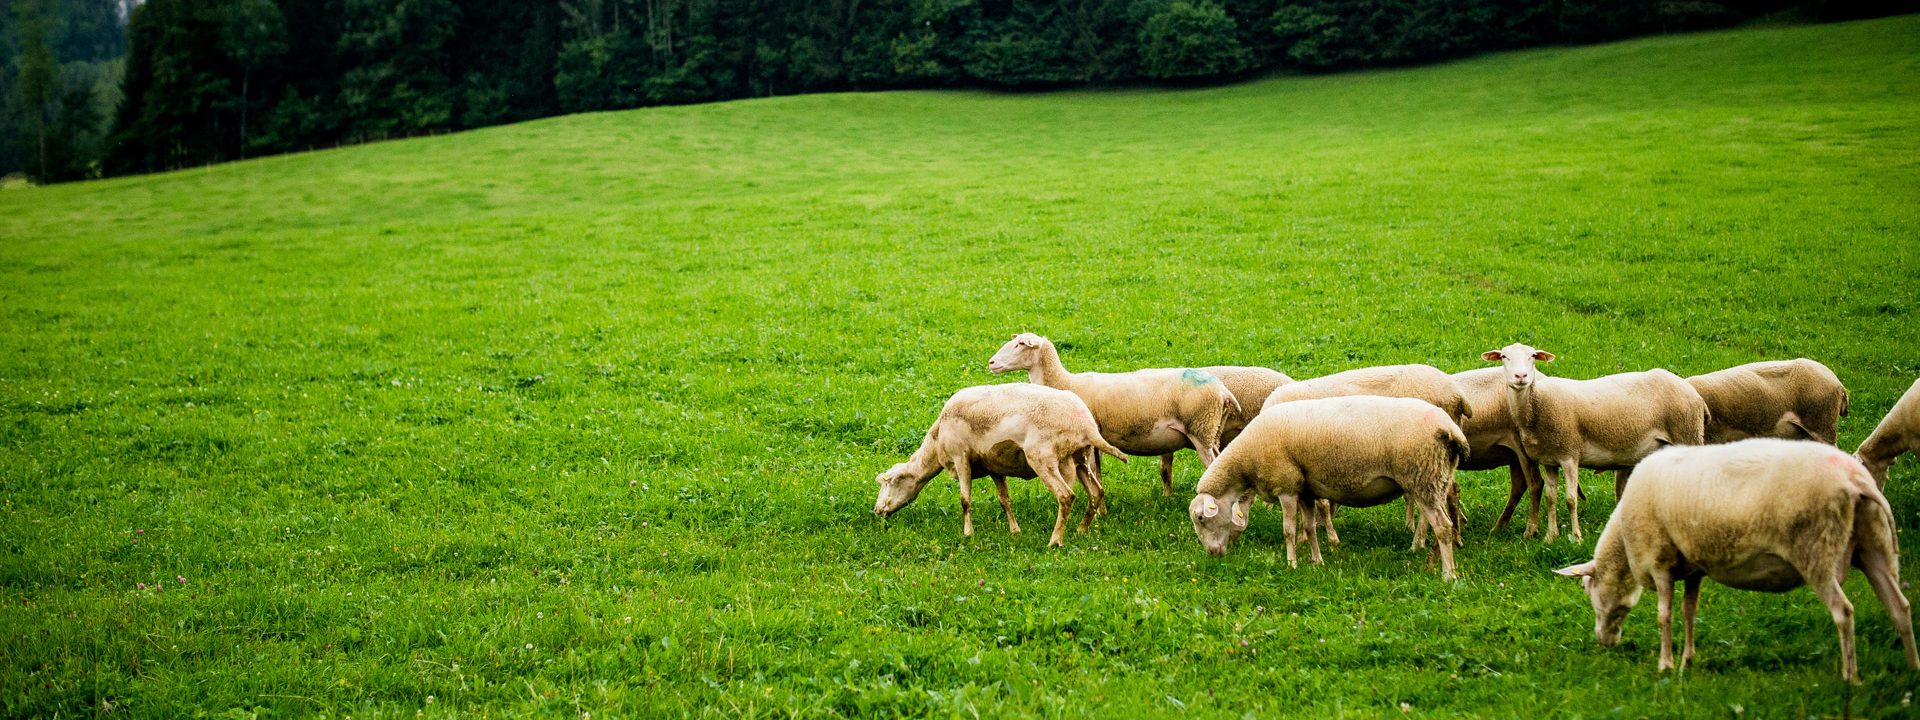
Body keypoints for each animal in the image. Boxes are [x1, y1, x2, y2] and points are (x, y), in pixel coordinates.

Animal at [872, 383, 1129, 547]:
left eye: (889, 483)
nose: (876, 511)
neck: (936, 444)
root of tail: (1087, 426)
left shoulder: (961, 458)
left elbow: (965, 500)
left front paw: (968, 534)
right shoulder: (994, 466)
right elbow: (1004, 500)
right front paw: (1015, 531)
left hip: (1044, 458)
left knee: (1066, 497)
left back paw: (1055, 541)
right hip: (1079, 458)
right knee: (1096, 492)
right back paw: (1081, 530)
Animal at [988, 333, 1240, 496]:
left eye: (1021, 344)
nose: (991, 362)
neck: (1065, 382)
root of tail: (1222, 390)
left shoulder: (1090, 439)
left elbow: (1094, 475)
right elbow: (1097, 474)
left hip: (1200, 429)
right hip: (1211, 431)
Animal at [1187, 395, 1469, 582]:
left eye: (1201, 518)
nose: (1212, 553)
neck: (1247, 459)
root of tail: (1451, 429)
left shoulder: (1287, 487)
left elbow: (1289, 531)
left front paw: (1291, 564)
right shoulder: (1305, 490)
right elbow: (1310, 528)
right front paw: (1317, 562)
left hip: (1422, 478)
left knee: (1442, 527)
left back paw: (1448, 575)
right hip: (1436, 479)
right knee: (1444, 522)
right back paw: (1431, 565)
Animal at [1482, 343, 1708, 543]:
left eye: (1533, 356)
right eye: (1504, 357)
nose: (1521, 377)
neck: (1537, 403)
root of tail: (1692, 391)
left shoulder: (1569, 454)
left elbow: (1571, 499)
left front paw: (1576, 538)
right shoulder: (1549, 460)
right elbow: (1550, 498)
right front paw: (1550, 537)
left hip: (1687, 434)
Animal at [1554, 438, 1916, 682]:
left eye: (1588, 591)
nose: (1604, 643)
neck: (1624, 543)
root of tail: (1858, 481)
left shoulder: (1660, 562)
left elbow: (1664, 616)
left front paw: (1666, 665)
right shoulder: (1694, 566)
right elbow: (1689, 612)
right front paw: (1687, 661)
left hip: (1816, 550)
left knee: (1844, 612)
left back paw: (1850, 677)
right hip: (1873, 546)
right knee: (1900, 607)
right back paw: (1912, 669)